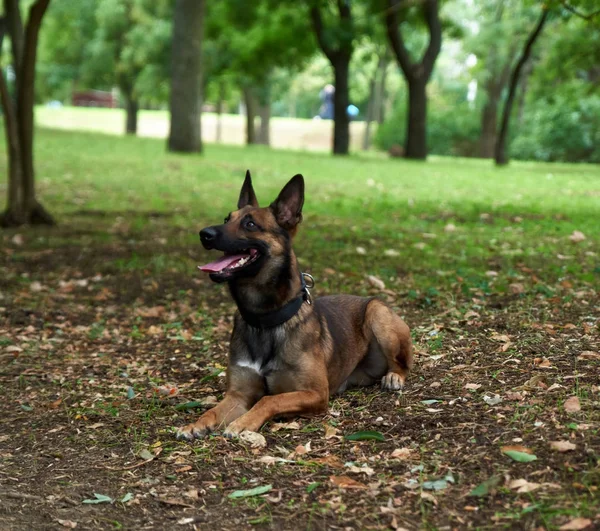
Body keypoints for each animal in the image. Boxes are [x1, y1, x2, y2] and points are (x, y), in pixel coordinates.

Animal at [176, 171, 414, 440]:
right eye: (227, 218)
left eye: (250, 224)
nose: (204, 234)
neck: (265, 320)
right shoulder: (238, 396)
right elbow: (214, 410)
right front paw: (195, 424)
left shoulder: (315, 394)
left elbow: (269, 400)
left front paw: (243, 423)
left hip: (377, 312)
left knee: (402, 364)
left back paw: (394, 377)